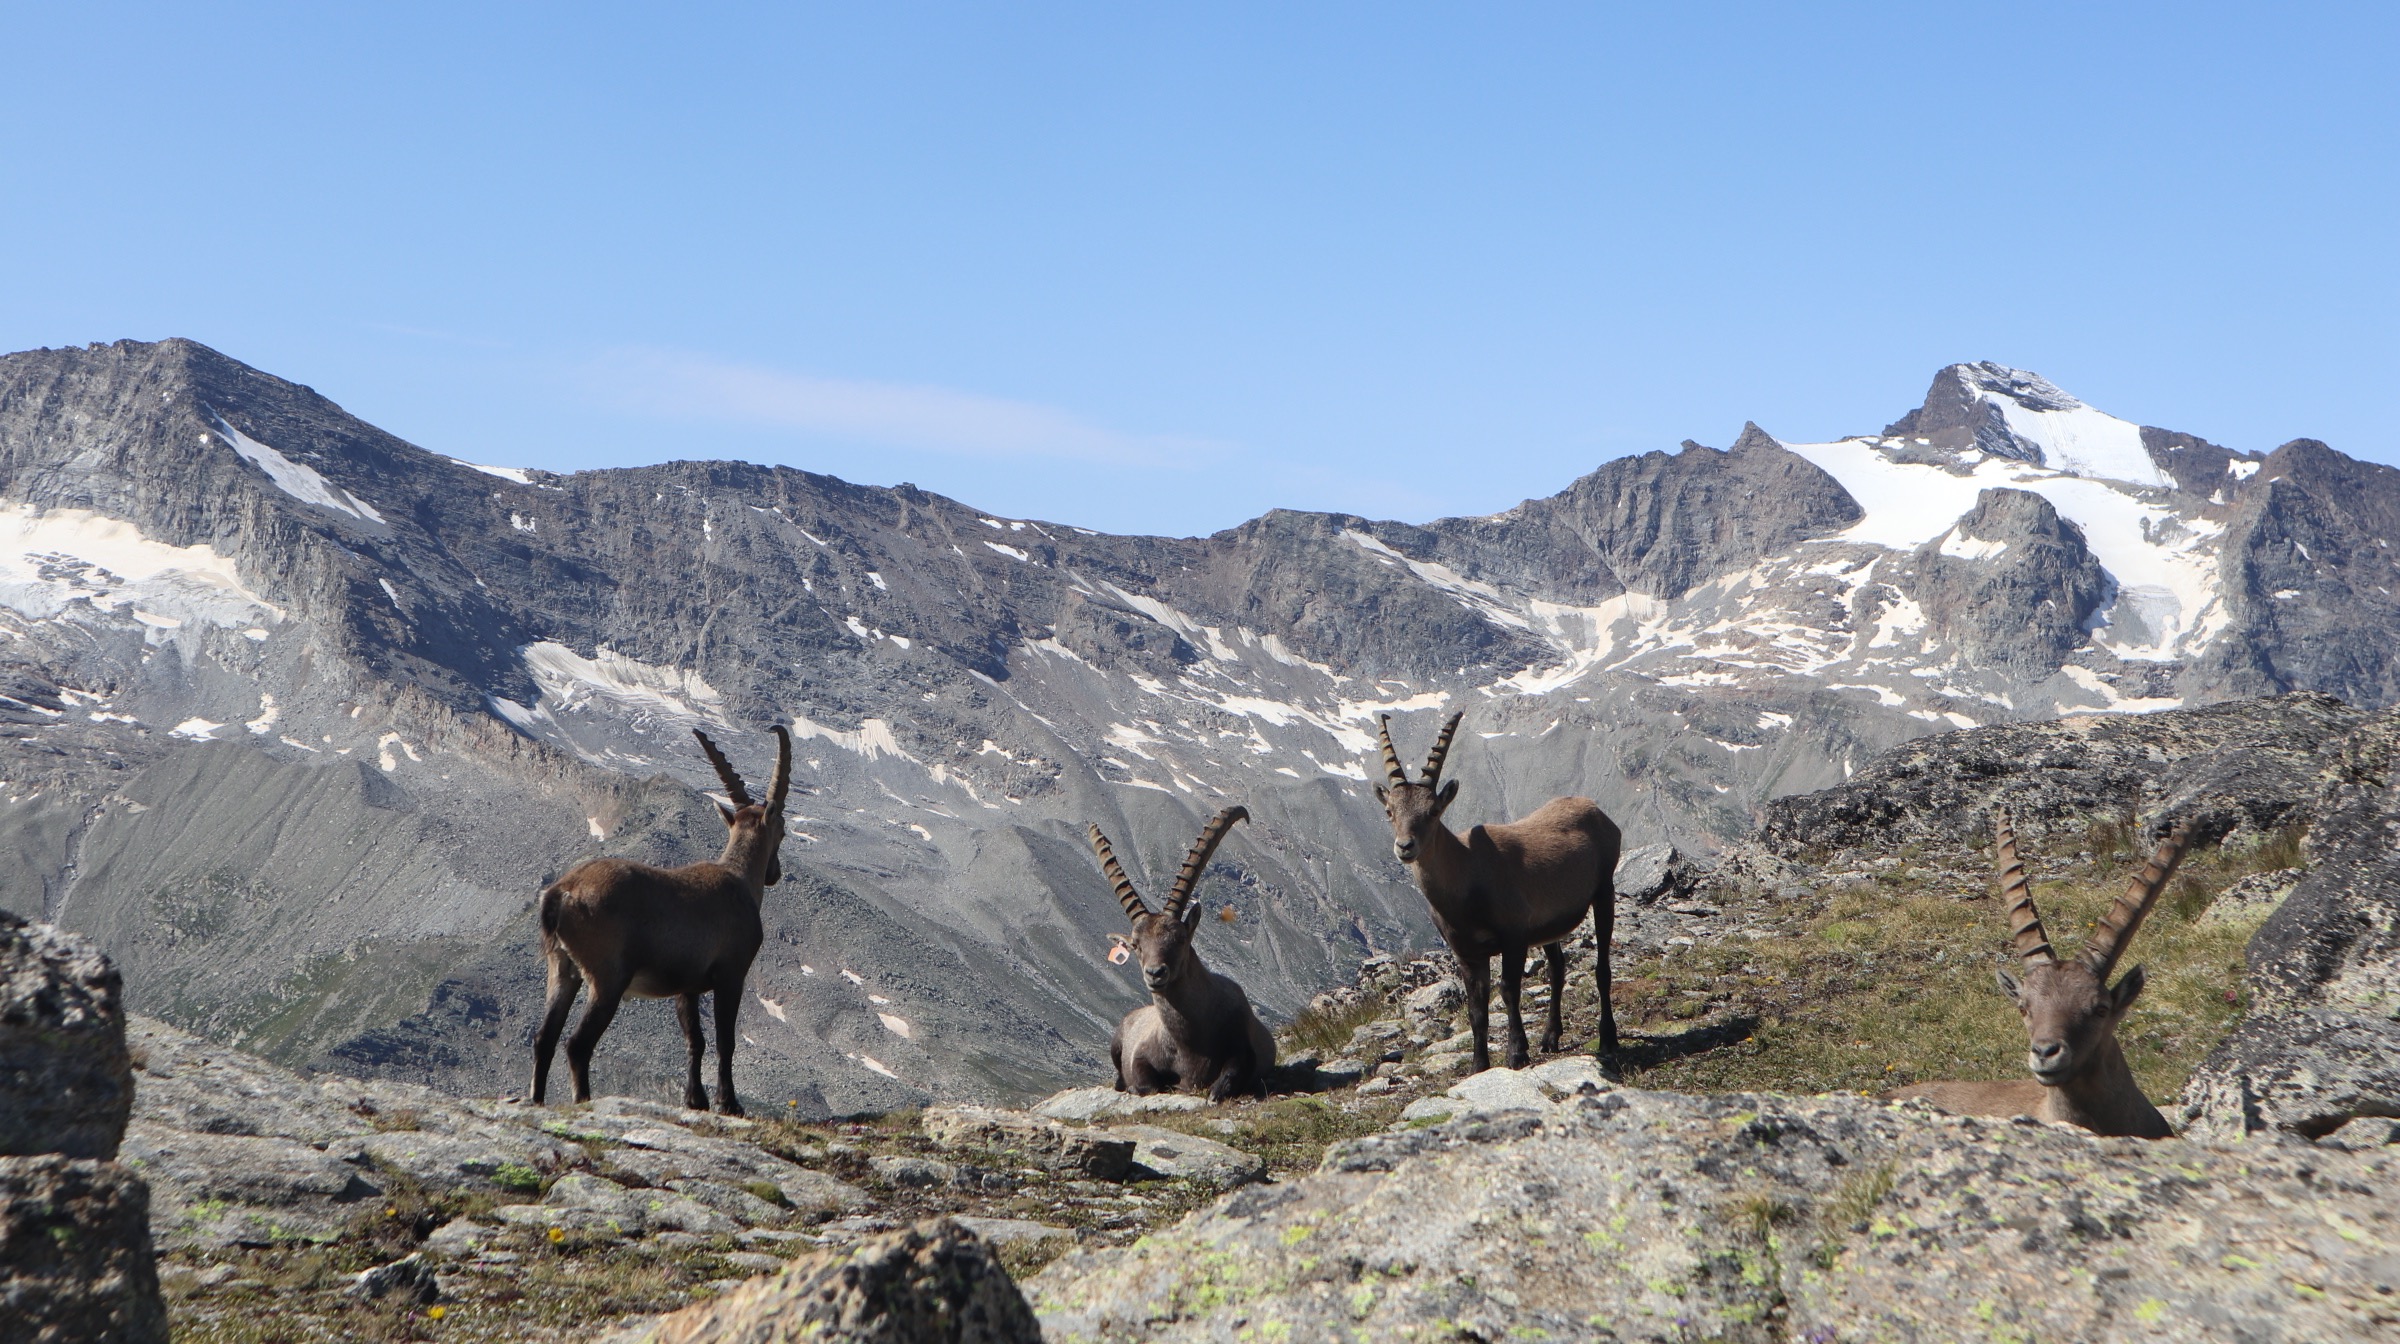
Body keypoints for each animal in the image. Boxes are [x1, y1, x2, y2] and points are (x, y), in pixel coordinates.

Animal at [530, 725, 790, 1116]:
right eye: (783, 830)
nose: (774, 873)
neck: (739, 878)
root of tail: (561, 894)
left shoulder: (686, 985)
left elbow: (695, 1040)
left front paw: (695, 1101)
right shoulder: (731, 974)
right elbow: (724, 1041)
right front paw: (729, 1104)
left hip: (562, 969)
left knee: (544, 1038)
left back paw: (536, 1101)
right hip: (607, 978)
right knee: (576, 1043)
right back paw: (584, 1100)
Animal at [1089, 806, 1277, 1102]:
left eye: (1180, 938)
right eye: (1136, 944)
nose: (1155, 973)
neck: (1190, 1039)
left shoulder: (1243, 1047)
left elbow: (1228, 1077)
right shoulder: (1140, 1055)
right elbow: (1145, 1083)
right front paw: (1138, 1085)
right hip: (1116, 1041)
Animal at [1373, 712, 1622, 1074]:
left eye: (1433, 811)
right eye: (1390, 811)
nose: (1405, 846)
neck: (1467, 874)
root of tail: (1598, 811)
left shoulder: (1514, 936)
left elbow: (1508, 991)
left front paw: (1516, 1054)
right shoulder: (1467, 952)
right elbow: (1476, 1008)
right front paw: (1479, 1065)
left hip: (1605, 892)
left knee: (1602, 969)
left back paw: (1607, 1039)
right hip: (1548, 927)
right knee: (1558, 968)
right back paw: (1550, 1037)